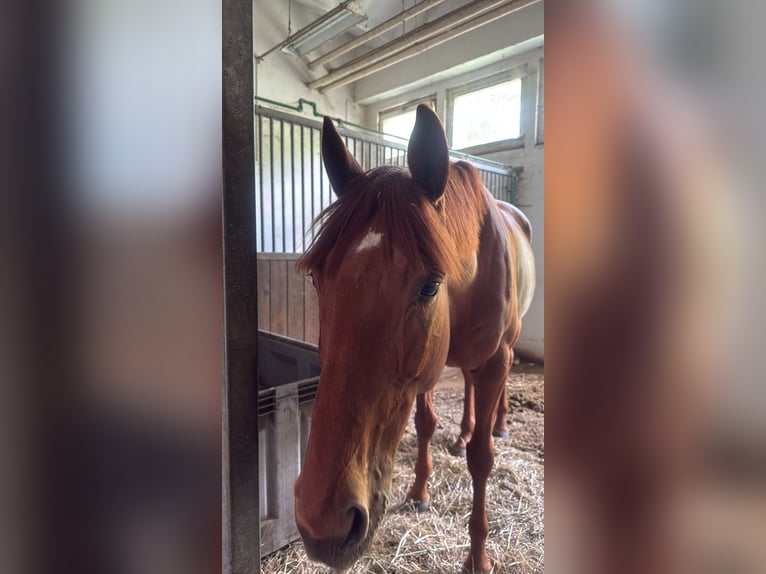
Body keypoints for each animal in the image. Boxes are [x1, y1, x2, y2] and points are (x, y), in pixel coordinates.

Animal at [292, 105, 536, 573]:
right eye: (315, 278)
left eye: (430, 285)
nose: (322, 524)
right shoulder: (428, 366)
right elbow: (425, 425)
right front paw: (420, 493)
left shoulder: (494, 359)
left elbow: (483, 461)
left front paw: (478, 556)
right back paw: (461, 436)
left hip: (505, 351)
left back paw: (499, 426)